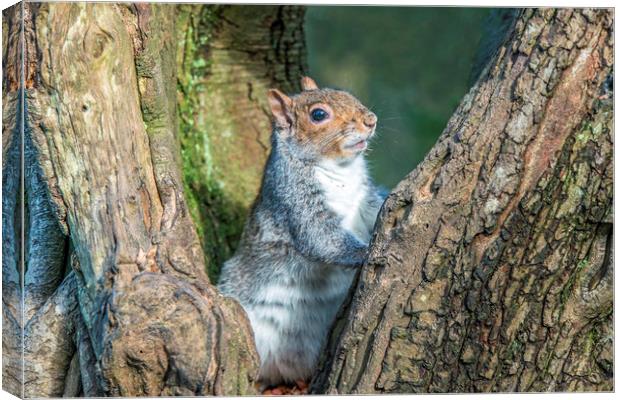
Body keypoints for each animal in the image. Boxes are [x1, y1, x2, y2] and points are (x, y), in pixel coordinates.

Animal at [216, 76, 386, 388]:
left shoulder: (366, 198)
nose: (371, 120)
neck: (341, 171)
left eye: (346, 93)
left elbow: (379, 205)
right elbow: (322, 239)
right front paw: (369, 253)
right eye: (318, 115)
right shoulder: (295, 202)